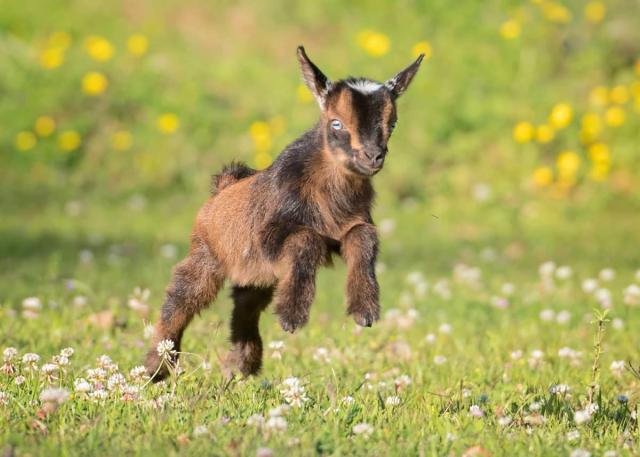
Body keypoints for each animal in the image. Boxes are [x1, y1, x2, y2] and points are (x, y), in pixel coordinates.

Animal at [146, 46, 424, 378]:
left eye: (392, 124)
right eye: (336, 123)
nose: (373, 156)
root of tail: (222, 188)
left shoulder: (348, 227)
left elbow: (364, 236)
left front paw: (365, 311)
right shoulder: (270, 234)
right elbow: (307, 239)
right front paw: (291, 316)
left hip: (257, 275)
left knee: (245, 304)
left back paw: (241, 364)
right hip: (207, 255)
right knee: (182, 296)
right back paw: (157, 367)